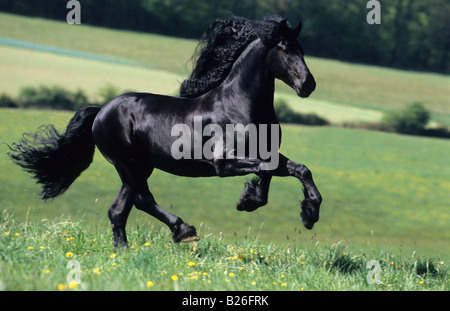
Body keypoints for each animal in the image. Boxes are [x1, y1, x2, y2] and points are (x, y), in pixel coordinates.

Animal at [8, 15, 322, 247]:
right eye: (285, 49)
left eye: (303, 50)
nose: (308, 85)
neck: (238, 104)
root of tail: (101, 111)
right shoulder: (223, 163)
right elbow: (266, 172)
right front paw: (248, 200)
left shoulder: (267, 153)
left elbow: (297, 169)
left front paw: (308, 214)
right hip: (128, 163)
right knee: (143, 201)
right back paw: (184, 231)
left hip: (138, 167)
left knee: (119, 210)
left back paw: (123, 252)